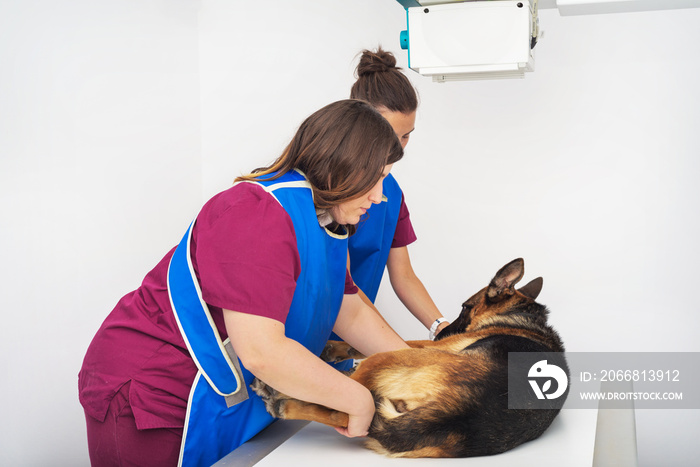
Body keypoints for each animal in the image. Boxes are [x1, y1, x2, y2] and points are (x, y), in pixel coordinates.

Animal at [252, 262, 568, 458]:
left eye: (465, 307)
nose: (442, 334)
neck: (522, 316)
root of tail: (458, 413)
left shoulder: (423, 346)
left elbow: (395, 340)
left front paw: (332, 349)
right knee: (346, 411)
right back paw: (285, 402)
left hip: (392, 358)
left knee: (348, 396)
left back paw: (280, 393)